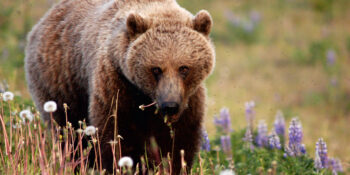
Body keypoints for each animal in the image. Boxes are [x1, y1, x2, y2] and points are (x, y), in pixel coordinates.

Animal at [24, 0, 215, 172]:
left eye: (184, 68)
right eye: (156, 69)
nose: (170, 105)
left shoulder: (189, 102)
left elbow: (179, 144)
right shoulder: (116, 87)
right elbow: (116, 137)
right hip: (60, 83)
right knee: (68, 132)